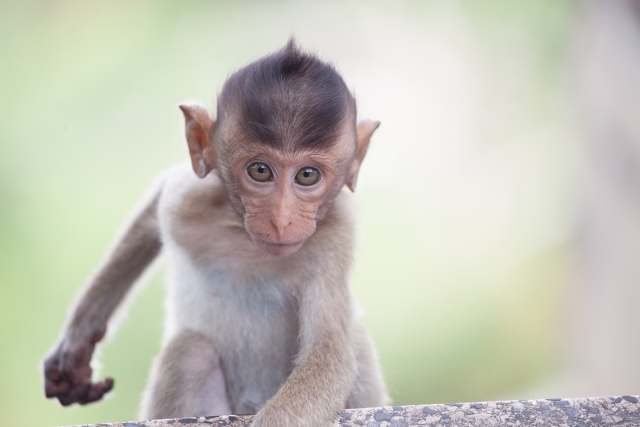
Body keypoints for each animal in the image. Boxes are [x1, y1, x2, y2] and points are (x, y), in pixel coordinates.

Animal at [43, 40, 388, 427]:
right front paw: (76, 345)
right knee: (190, 351)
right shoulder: (188, 199)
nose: (281, 220)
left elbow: (331, 351)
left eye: (307, 175)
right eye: (259, 170)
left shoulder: (336, 237)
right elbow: (155, 207)